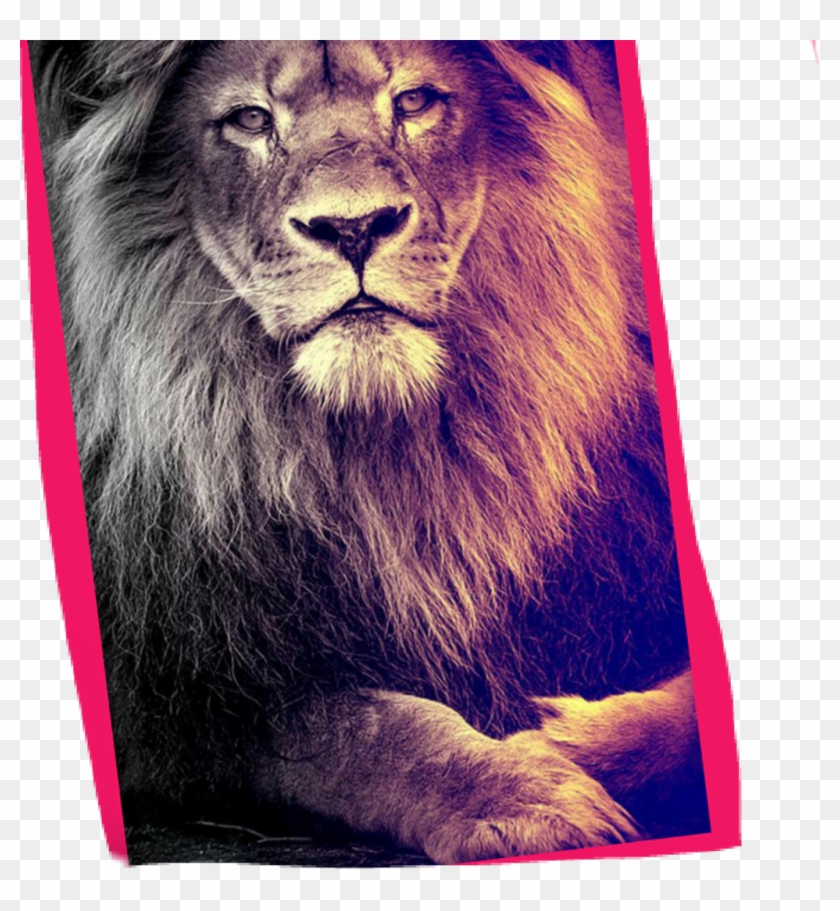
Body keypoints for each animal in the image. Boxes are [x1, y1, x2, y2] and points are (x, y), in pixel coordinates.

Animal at [32, 40, 708, 864]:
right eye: (249, 120)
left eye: (414, 101)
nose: (354, 228)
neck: (386, 461)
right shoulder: (184, 698)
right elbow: (361, 726)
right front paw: (519, 794)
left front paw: (566, 741)